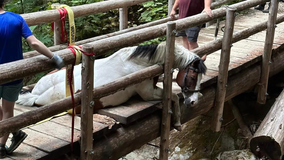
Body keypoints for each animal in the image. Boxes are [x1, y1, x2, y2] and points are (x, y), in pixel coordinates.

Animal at [17, 42, 206, 131]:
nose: (193, 101)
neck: (140, 63)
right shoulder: (147, 93)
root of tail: (36, 96)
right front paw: (178, 123)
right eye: (192, 76)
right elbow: (173, 96)